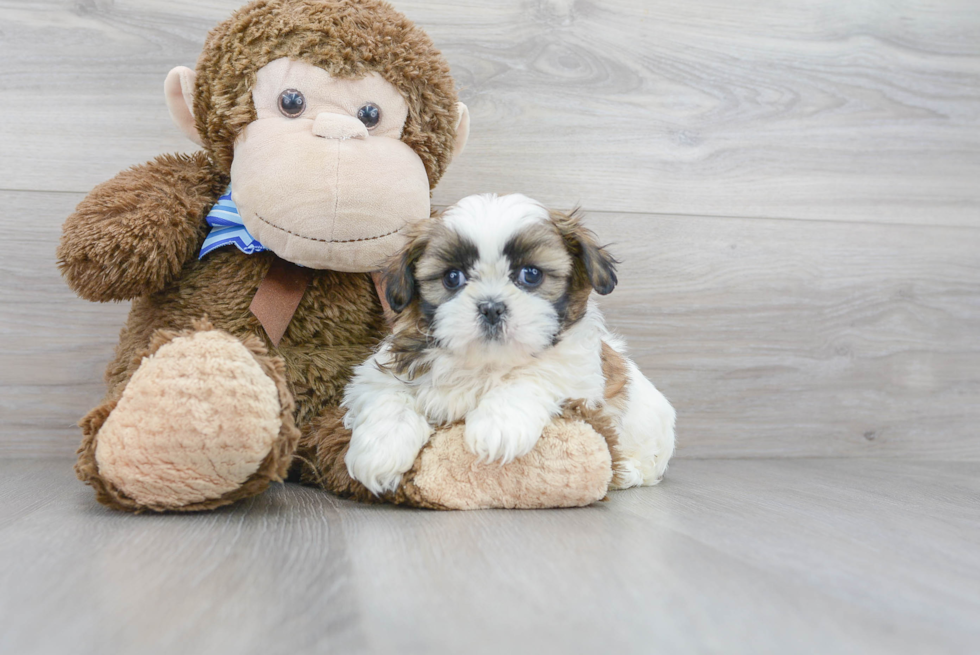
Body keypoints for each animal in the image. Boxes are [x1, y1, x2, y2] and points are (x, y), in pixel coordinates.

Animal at [342, 195, 672, 498]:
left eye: (531, 274)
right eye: (452, 277)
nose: (491, 307)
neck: (485, 362)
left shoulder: (578, 374)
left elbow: (533, 376)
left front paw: (497, 426)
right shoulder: (382, 369)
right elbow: (388, 396)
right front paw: (382, 450)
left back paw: (627, 472)